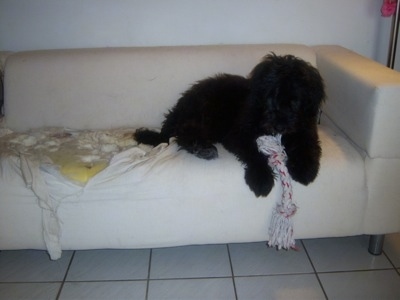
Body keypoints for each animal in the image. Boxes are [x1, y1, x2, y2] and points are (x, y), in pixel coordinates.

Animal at [134, 54, 324, 197]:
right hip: (207, 113)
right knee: (183, 133)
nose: (279, 126)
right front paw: (261, 179)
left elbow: (308, 145)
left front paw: (304, 169)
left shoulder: (305, 128)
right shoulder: (238, 135)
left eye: (295, 101)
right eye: (271, 97)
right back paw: (203, 148)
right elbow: (254, 153)